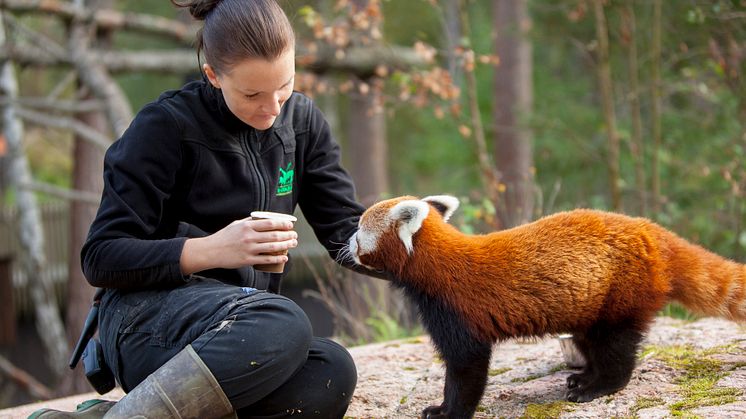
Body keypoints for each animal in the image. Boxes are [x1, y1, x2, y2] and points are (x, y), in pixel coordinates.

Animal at [348, 196, 744, 419]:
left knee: (616, 346)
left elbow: (466, 370)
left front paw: (449, 412)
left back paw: (597, 387)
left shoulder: (458, 311)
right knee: (591, 341)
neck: (435, 266)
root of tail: (653, 232)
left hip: (622, 292)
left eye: (358, 231)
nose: (346, 243)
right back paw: (584, 376)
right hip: (591, 300)